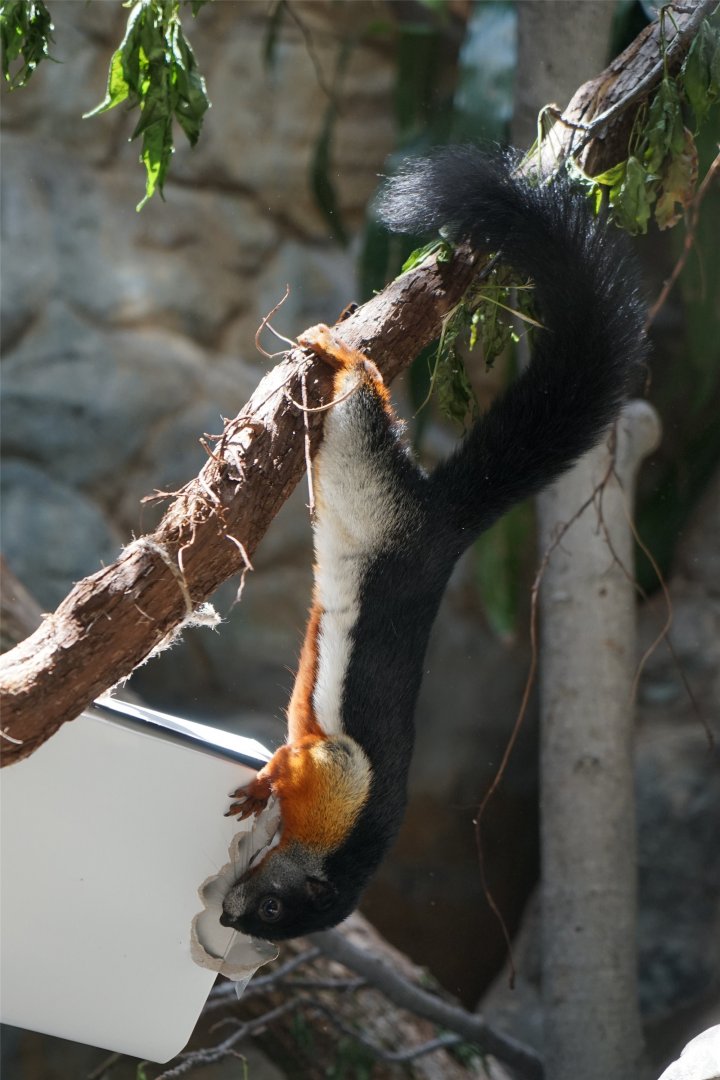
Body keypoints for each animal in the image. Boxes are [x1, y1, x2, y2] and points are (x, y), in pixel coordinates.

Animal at [219, 147, 648, 941]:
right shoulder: (340, 771)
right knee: (362, 397)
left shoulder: (334, 774)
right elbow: (300, 758)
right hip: (365, 471)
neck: (346, 841)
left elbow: (300, 752)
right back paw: (340, 350)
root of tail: (441, 522)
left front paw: (261, 788)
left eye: (274, 914)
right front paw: (263, 784)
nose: (232, 919)